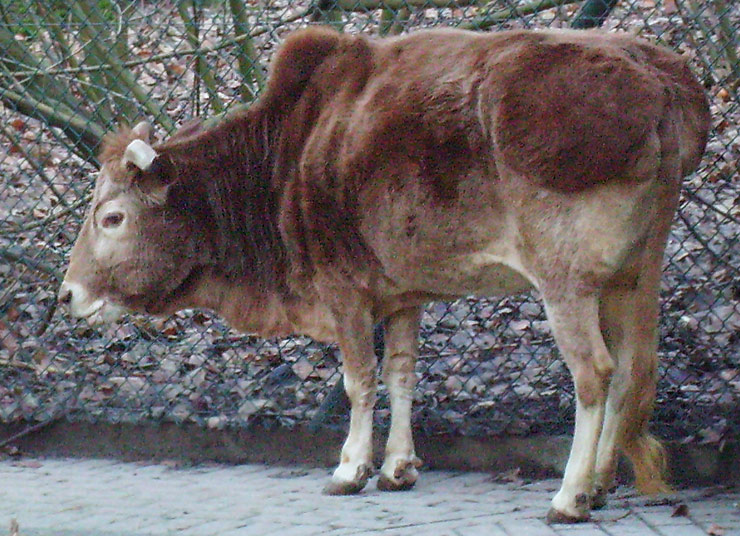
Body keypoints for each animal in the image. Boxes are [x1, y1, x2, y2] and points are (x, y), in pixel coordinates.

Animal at [59, 27, 712, 520]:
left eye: (112, 216)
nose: (68, 294)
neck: (284, 156)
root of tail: (660, 80)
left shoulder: (342, 289)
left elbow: (359, 380)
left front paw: (351, 467)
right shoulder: (401, 294)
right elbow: (401, 374)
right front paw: (398, 466)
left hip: (566, 279)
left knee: (594, 373)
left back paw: (570, 495)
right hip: (634, 274)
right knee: (630, 370)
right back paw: (598, 485)